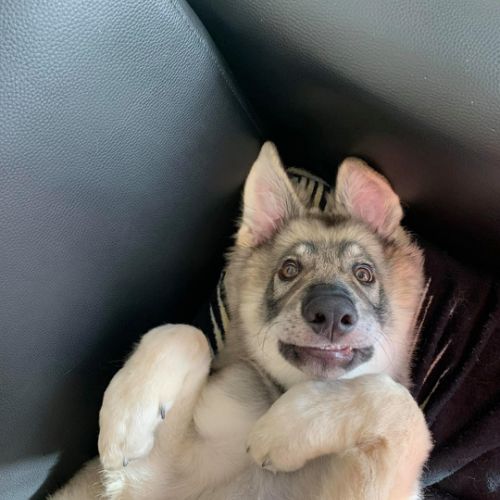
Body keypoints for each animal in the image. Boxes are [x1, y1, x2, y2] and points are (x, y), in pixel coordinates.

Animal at [52, 142, 432, 499]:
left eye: (364, 274)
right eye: (289, 269)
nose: (332, 314)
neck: (285, 390)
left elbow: (402, 406)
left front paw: (289, 427)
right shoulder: (154, 479)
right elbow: (184, 334)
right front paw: (128, 417)